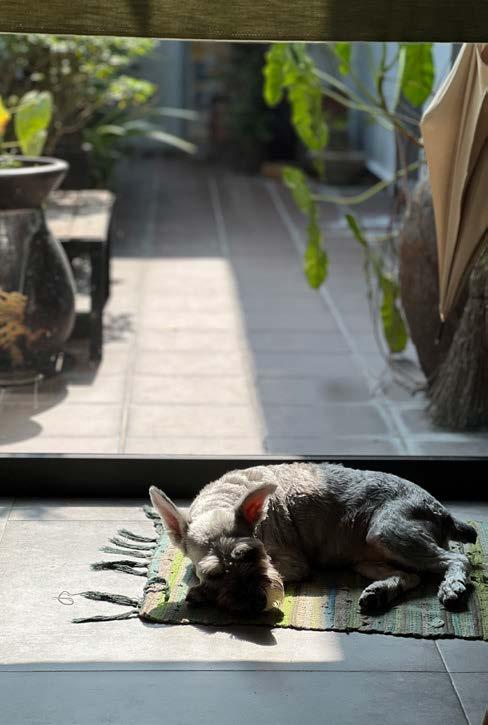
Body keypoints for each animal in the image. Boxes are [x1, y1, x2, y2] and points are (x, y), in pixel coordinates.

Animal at [149, 462, 476, 615]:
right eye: (214, 573)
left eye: (253, 554)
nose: (257, 602)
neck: (223, 500)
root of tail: (440, 510)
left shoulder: (291, 564)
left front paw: (202, 595)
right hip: (367, 558)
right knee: (411, 576)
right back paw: (379, 593)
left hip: (390, 532)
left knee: (456, 558)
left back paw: (453, 588)